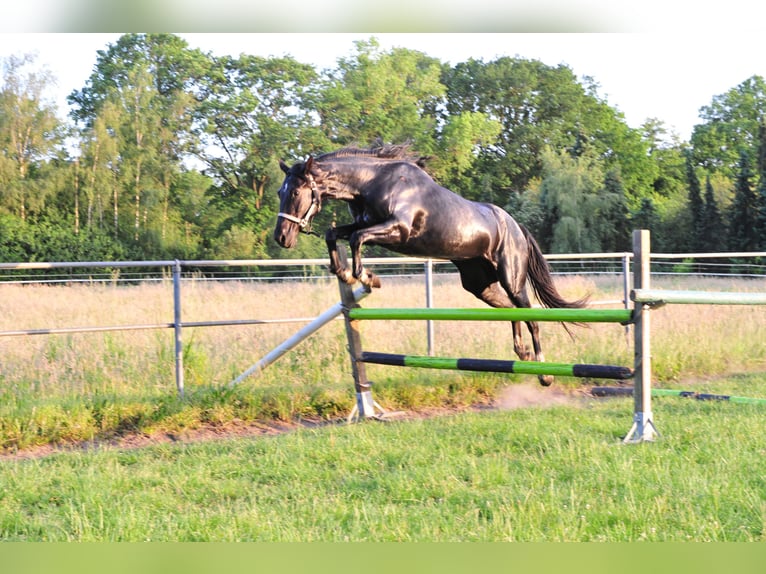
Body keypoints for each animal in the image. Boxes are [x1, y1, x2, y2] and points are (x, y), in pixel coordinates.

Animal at [273, 143, 587, 385]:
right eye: (280, 192)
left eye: (297, 192)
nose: (282, 237)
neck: (371, 183)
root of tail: (515, 225)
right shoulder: (366, 225)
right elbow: (336, 234)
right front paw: (344, 272)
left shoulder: (397, 230)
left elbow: (356, 239)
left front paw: (365, 277)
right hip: (479, 285)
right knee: (511, 310)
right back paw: (521, 353)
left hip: (512, 278)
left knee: (531, 315)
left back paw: (544, 372)